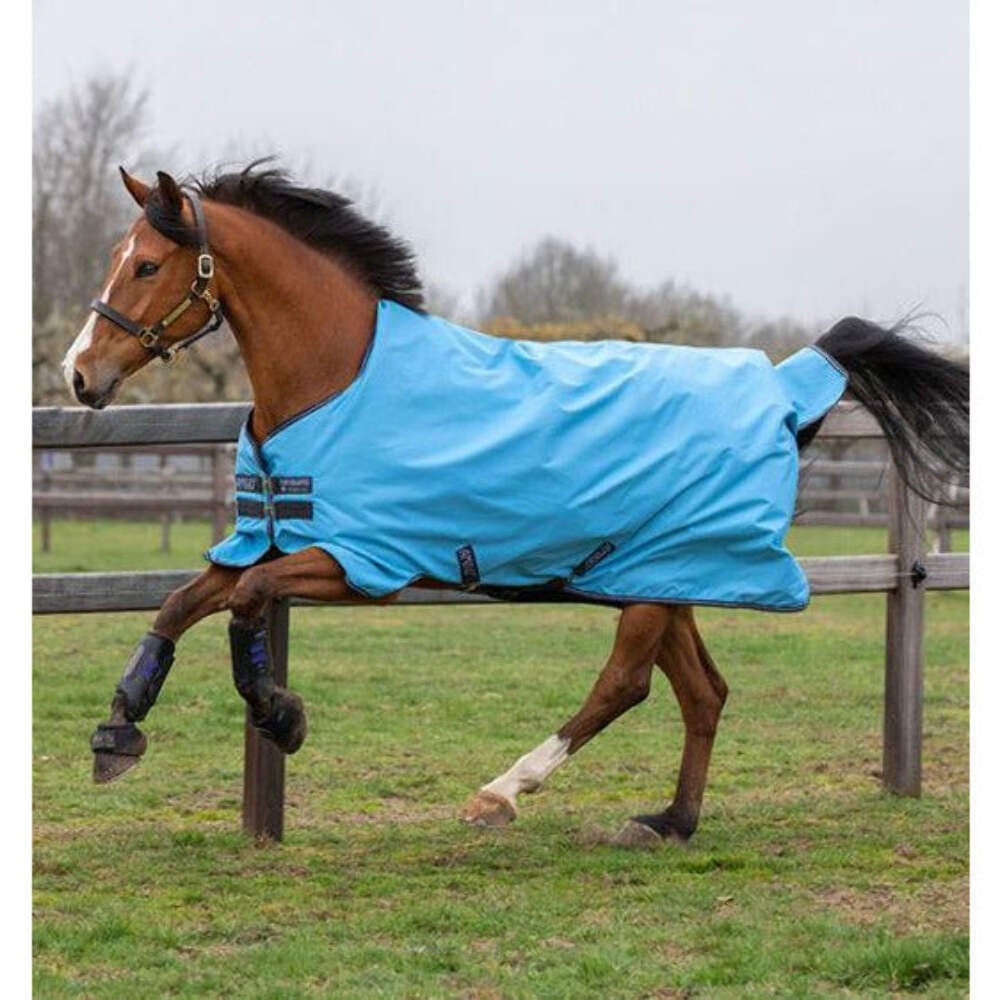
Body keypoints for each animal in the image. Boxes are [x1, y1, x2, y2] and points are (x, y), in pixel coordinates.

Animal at [64, 162, 969, 845]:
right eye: (119, 256)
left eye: (146, 266)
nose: (80, 373)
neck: (338, 378)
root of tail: (783, 387)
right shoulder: (274, 542)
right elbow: (180, 604)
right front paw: (118, 733)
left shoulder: (358, 563)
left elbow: (248, 603)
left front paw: (281, 715)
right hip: (665, 574)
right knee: (702, 691)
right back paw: (670, 821)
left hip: (653, 583)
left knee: (625, 684)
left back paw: (500, 793)